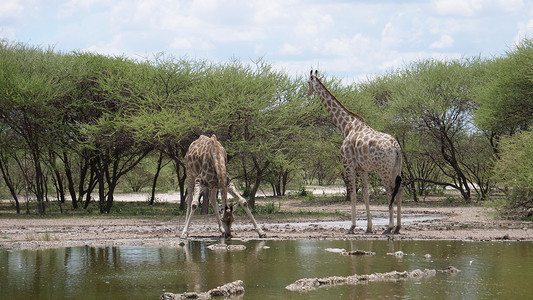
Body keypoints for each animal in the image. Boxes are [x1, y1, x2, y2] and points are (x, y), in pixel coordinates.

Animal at [306, 71, 402, 234]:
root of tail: (396, 147)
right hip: (396, 168)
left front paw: (352, 226)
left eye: (308, 82)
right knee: (399, 191)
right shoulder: (362, 168)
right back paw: (398, 227)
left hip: (383, 169)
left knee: (390, 191)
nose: (307, 93)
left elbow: (352, 194)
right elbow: (365, 194)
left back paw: (389, 227)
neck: (346, 126)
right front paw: (369, 228)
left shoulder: (348, 164)